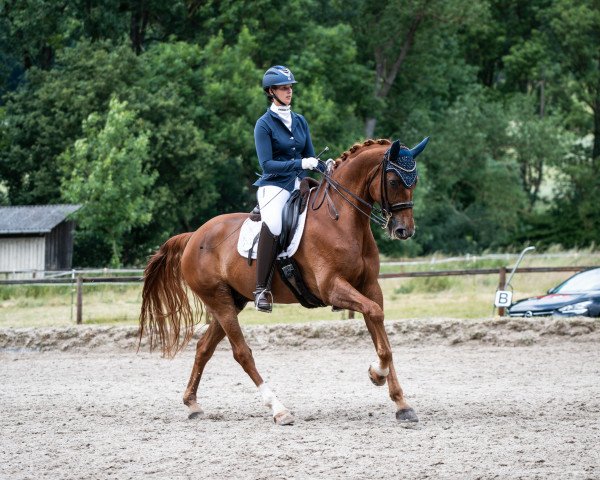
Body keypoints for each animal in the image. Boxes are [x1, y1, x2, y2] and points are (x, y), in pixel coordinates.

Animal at [138, 137, 428, 426]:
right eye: (393, 181)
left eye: (414, 181)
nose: (404, 230)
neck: (341, 221)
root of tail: (194, 236)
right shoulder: (332, 288)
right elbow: (376, 318)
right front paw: (376, 373)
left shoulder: (369, 287)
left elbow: (382, 335)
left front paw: (401, 402)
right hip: (219, 301)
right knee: (242, 353)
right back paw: (278, 409)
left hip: (231, 301)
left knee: (203, 349)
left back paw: (192, 404)